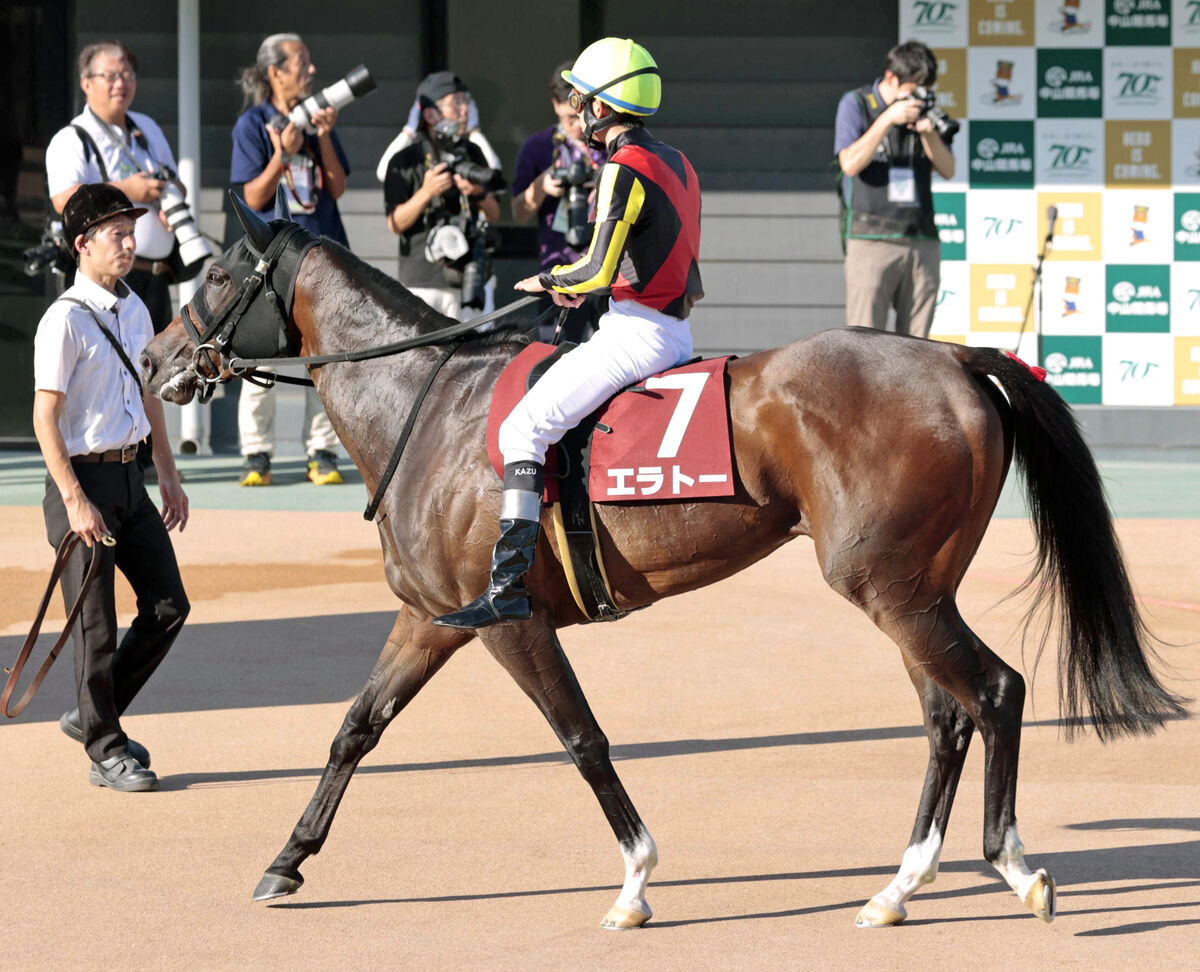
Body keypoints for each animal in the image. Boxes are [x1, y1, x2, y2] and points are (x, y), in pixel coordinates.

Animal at [140, 202, 1180, 926]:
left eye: (218, 271)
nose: (153, 358)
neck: (425, 404)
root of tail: (960, 359)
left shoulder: (509, 622)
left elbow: (582, 739)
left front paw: (635, 880)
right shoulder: (430, 617)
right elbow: (356, 729)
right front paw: (287, 860)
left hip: (891, 590)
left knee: (994, 692)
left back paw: (1011, 865)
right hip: (915, 591)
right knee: (947, 714)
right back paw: (899, 886)